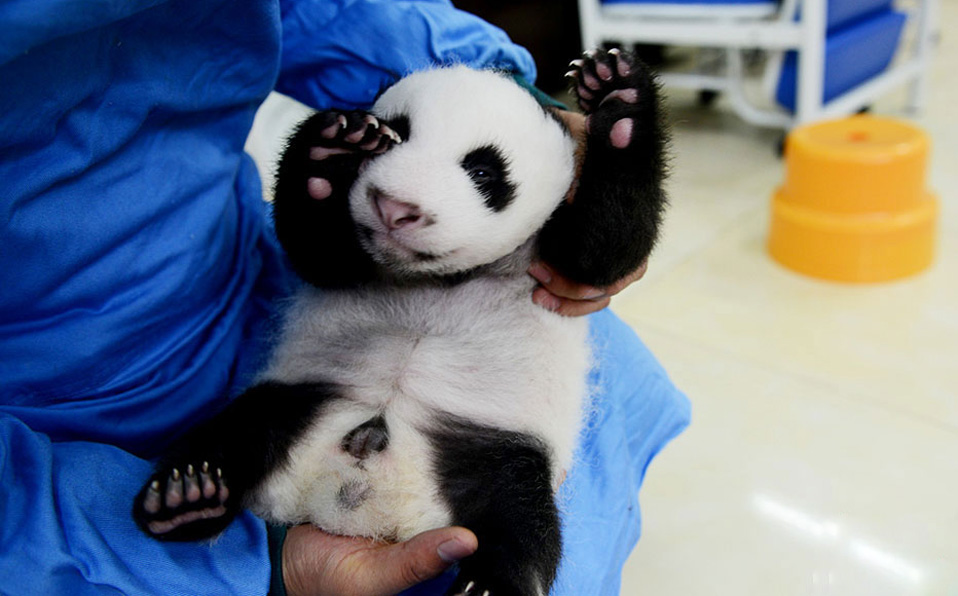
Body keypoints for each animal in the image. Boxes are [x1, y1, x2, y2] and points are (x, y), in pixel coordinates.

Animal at [133, 49, 667, 596]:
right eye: (398, 133)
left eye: (483, 171)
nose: (395, 208)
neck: (437, 277)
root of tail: (355, 502)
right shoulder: (354, 263)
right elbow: (317, 254)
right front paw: (331, 149)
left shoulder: (546, 267)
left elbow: (601, 253)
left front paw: (618, 100)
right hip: (302, 396)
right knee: (238, 431)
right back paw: (190, 496)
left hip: (495, 450)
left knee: (522, 521)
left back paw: (491, 584)